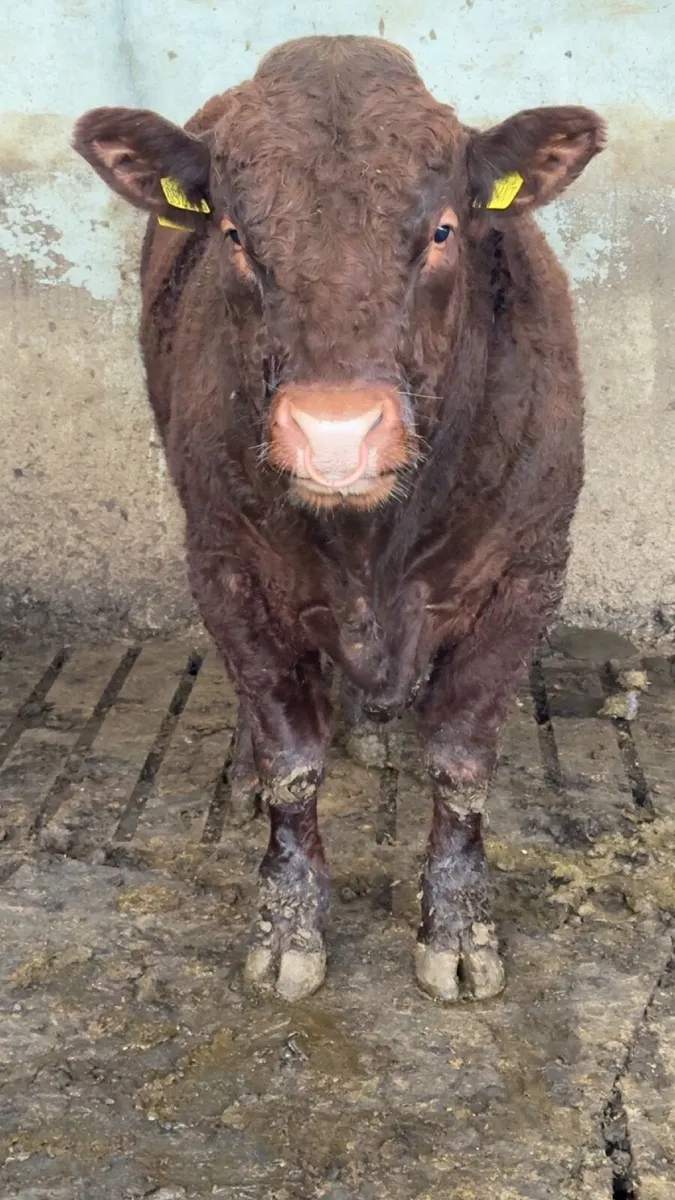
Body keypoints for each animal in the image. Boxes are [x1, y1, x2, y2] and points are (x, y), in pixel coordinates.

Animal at [73, 35, 605, 1004]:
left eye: (441, 230)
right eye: (236, 237)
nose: (334, 434)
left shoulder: (527, 573)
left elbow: (462, 763)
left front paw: (459, 930)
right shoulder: (226, 569)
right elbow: (292, 762)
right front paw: (287, 926)